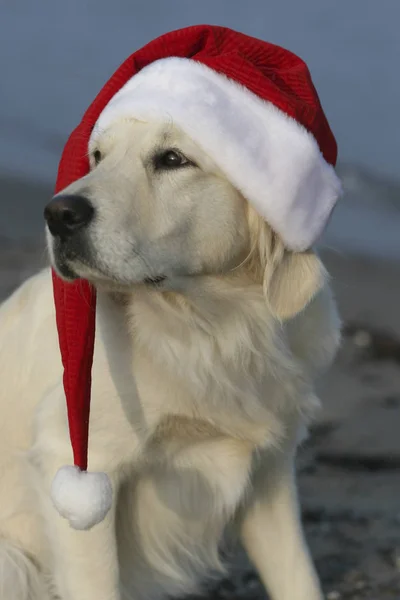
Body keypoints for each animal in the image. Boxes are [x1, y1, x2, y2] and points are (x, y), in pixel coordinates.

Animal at [0, 118, 340, 600]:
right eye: (98, 156)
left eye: (173, 159)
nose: (58, 214)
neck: (213, 329)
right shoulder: (75, 459)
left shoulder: (269, 472)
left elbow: (299, 578)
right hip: (13, 564)